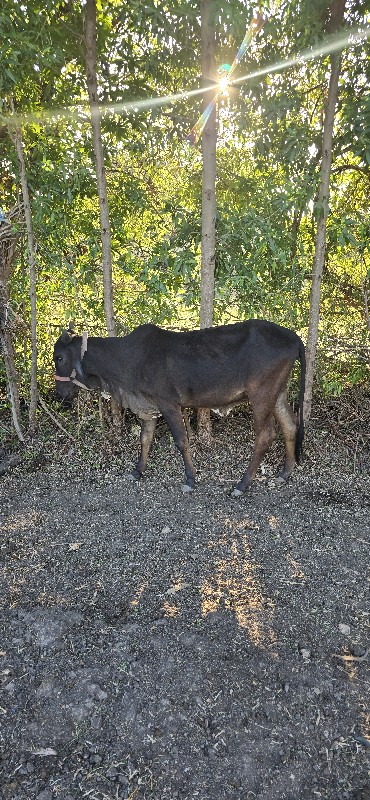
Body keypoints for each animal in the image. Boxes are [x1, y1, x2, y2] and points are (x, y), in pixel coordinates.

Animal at [53, 318, 304, 494]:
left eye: (59, 358)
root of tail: (293, 337)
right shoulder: (148, 405)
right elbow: (145, 438)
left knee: (266, 435)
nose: (60, 394)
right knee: (290, 426)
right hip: (278, 391)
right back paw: (285, 472)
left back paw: (242, 484)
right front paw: (137, 471)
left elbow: (181, 441)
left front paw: (190, 479)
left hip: (261, 393)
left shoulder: (168, 403)